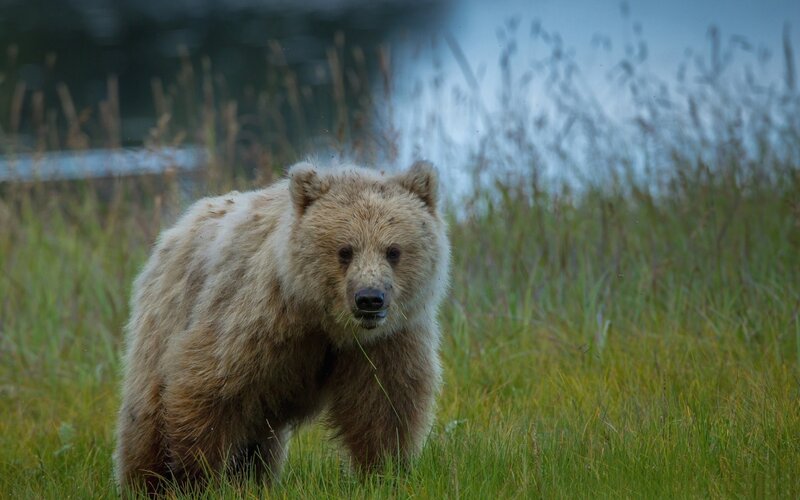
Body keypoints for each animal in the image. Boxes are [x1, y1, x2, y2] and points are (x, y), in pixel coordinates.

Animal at [114, 160, 450, 494]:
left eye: (393, 250)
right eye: (345, 250)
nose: (370, 299)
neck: (324, 321)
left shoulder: (387, 341)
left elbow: (383, 405)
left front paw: (384, 473)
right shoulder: (257, 321)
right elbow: (206, 388)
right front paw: (194, 479)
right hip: (165, 319)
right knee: (146, 417)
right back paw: (145, 482)